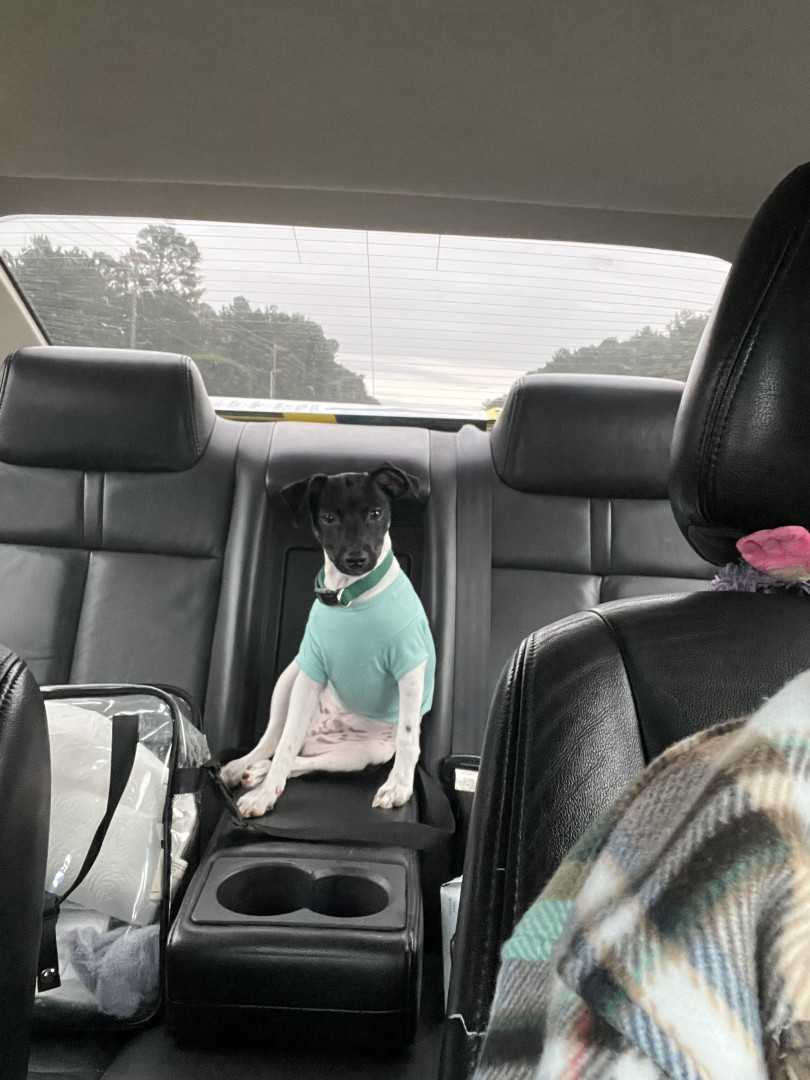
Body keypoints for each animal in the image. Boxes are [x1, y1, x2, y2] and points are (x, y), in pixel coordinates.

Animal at [221, 464, 436, 818]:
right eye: (329, 518)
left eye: (376, 513)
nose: (357, 559)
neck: (352, 596)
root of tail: (318, 736)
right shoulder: (312, 671)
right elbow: (285, 746)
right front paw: (264, 796)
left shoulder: (410, 666)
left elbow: (407, 737)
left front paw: (399, 787)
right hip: (291, 677)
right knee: (277, 740)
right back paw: (245, 767)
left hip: (360, 755)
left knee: (304, 760)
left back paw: (258, 772)